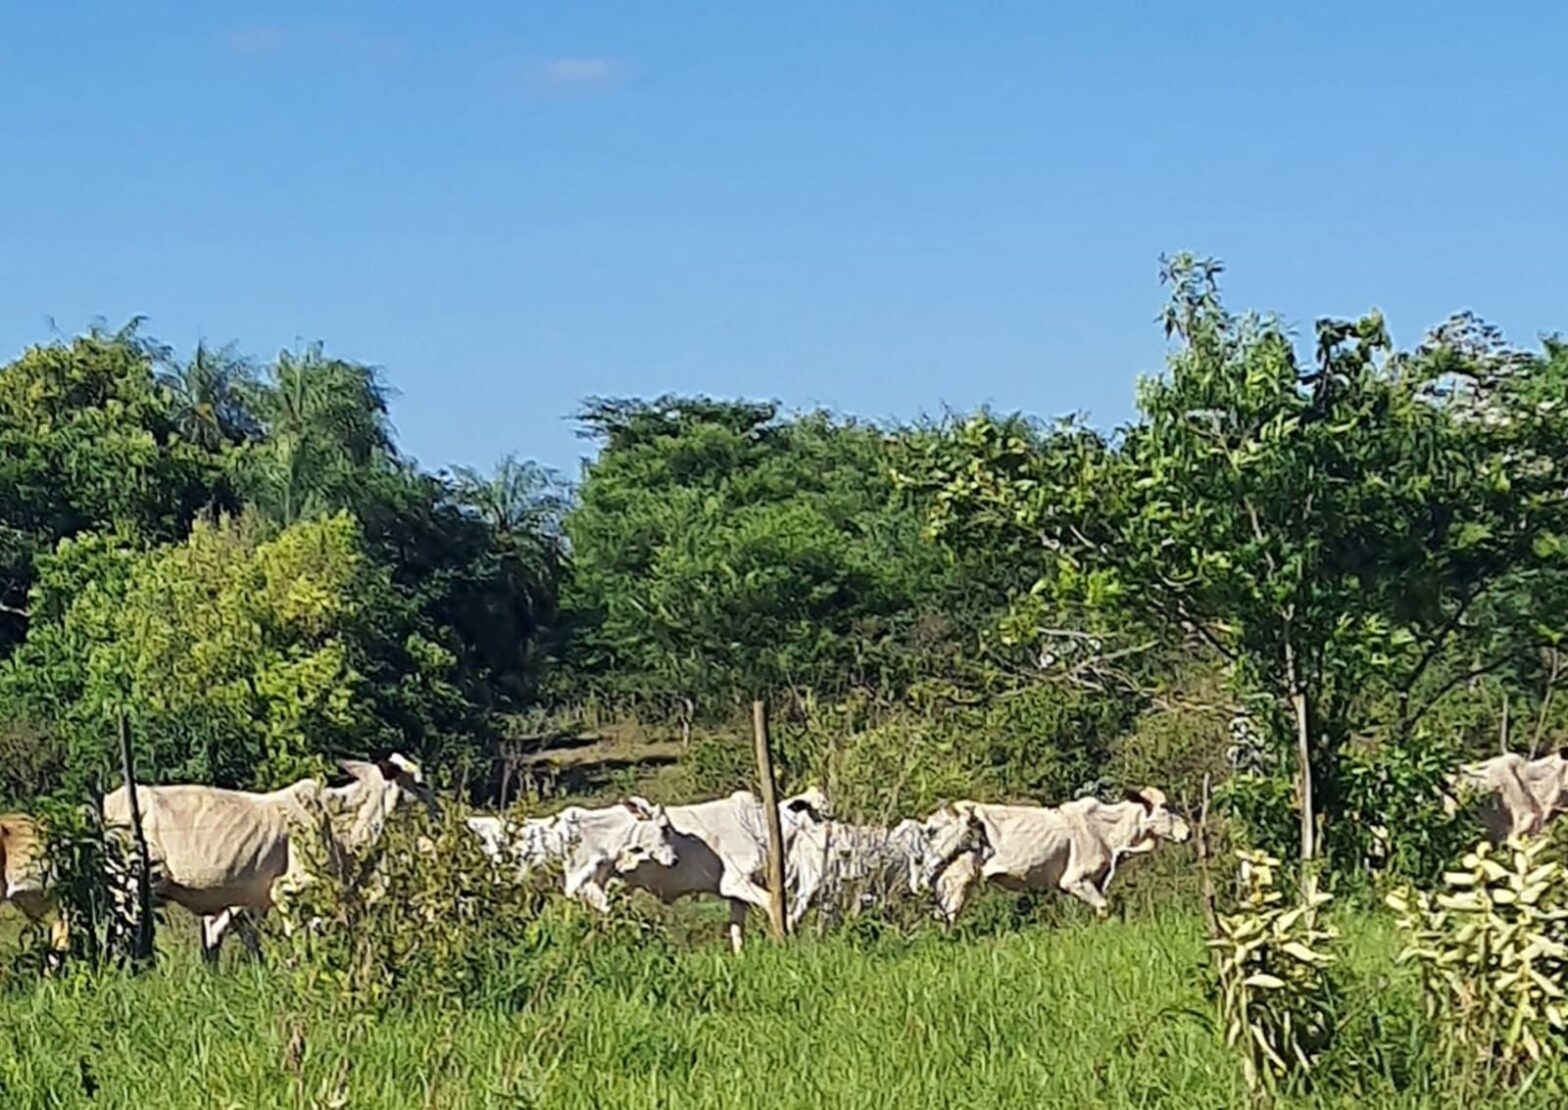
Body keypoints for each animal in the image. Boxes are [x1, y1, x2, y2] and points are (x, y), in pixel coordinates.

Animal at [915, 790, 1185, 928]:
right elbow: (1103, 906)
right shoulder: (1075, 880)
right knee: (946, 916)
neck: (1107, 830)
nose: (1187, 832)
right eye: (1164, 806)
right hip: (957, 881)